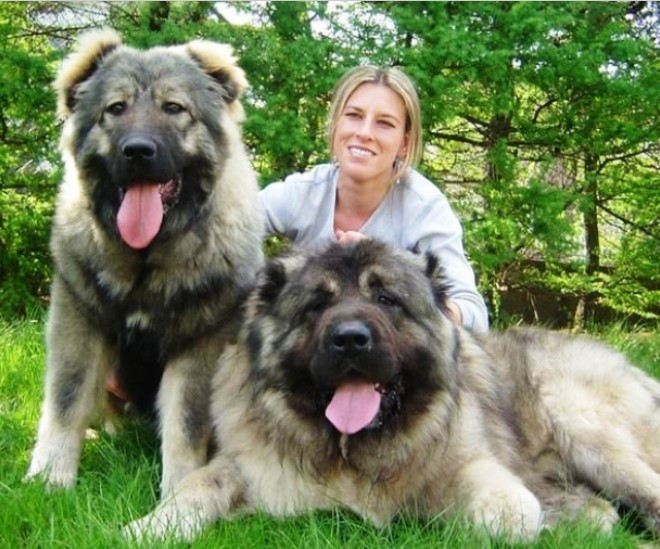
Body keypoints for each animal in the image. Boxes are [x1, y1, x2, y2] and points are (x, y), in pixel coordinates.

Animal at [26, 27, 262, 494]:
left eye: (174, 108)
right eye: (116, 108)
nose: (137, 151)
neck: (145, 260)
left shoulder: (201, 340)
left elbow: (185, 421)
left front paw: (178, 487)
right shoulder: (78, 316)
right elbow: (66, 398)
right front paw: (50, 478)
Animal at [127, 242, 660, 540]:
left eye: (386, 299)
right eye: (316, 305)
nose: (350, 338)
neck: (351, 450)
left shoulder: (472, 465)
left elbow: (508, 514)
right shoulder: (246, 465)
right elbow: (199, 485)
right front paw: (152, 526)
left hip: (584, 427)